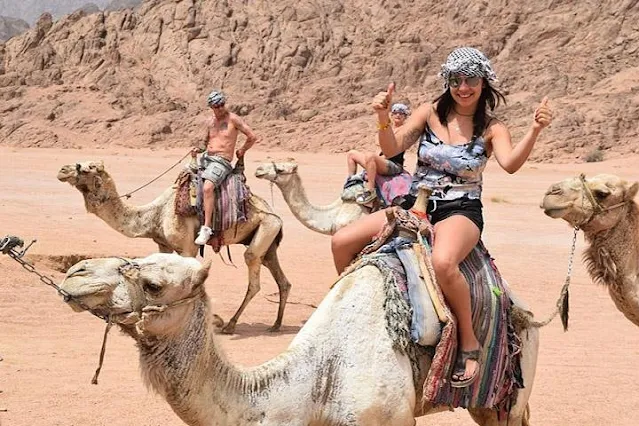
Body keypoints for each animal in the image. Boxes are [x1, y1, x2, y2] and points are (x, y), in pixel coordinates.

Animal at [57, 160, 292, 334]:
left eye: (86, 167)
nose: (62, 170)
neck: (155, 214)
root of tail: (276, 215)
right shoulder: (163, 245)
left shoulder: (187, 247)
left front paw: (211, 319)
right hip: (268, 240)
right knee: (282, 279)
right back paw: (276, 324)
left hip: (265, 230)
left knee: (253, 272)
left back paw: (231, 325)